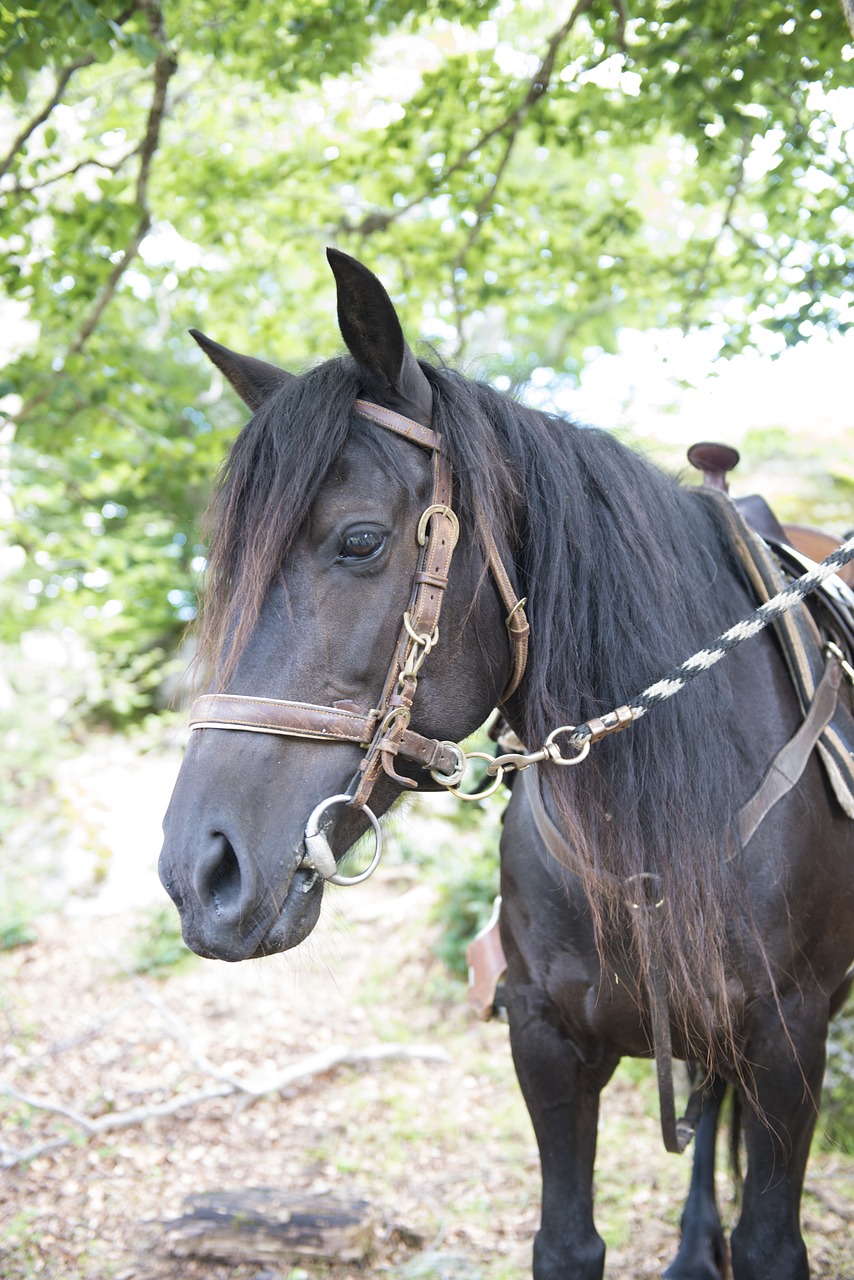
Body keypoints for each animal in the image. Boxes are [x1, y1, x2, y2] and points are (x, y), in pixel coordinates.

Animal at [160, 252, 854, 1280]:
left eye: (359, 540)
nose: (201, 871)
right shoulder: (544, 1040)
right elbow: (567, 1242)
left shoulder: (792, 1038)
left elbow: (770, 1242)